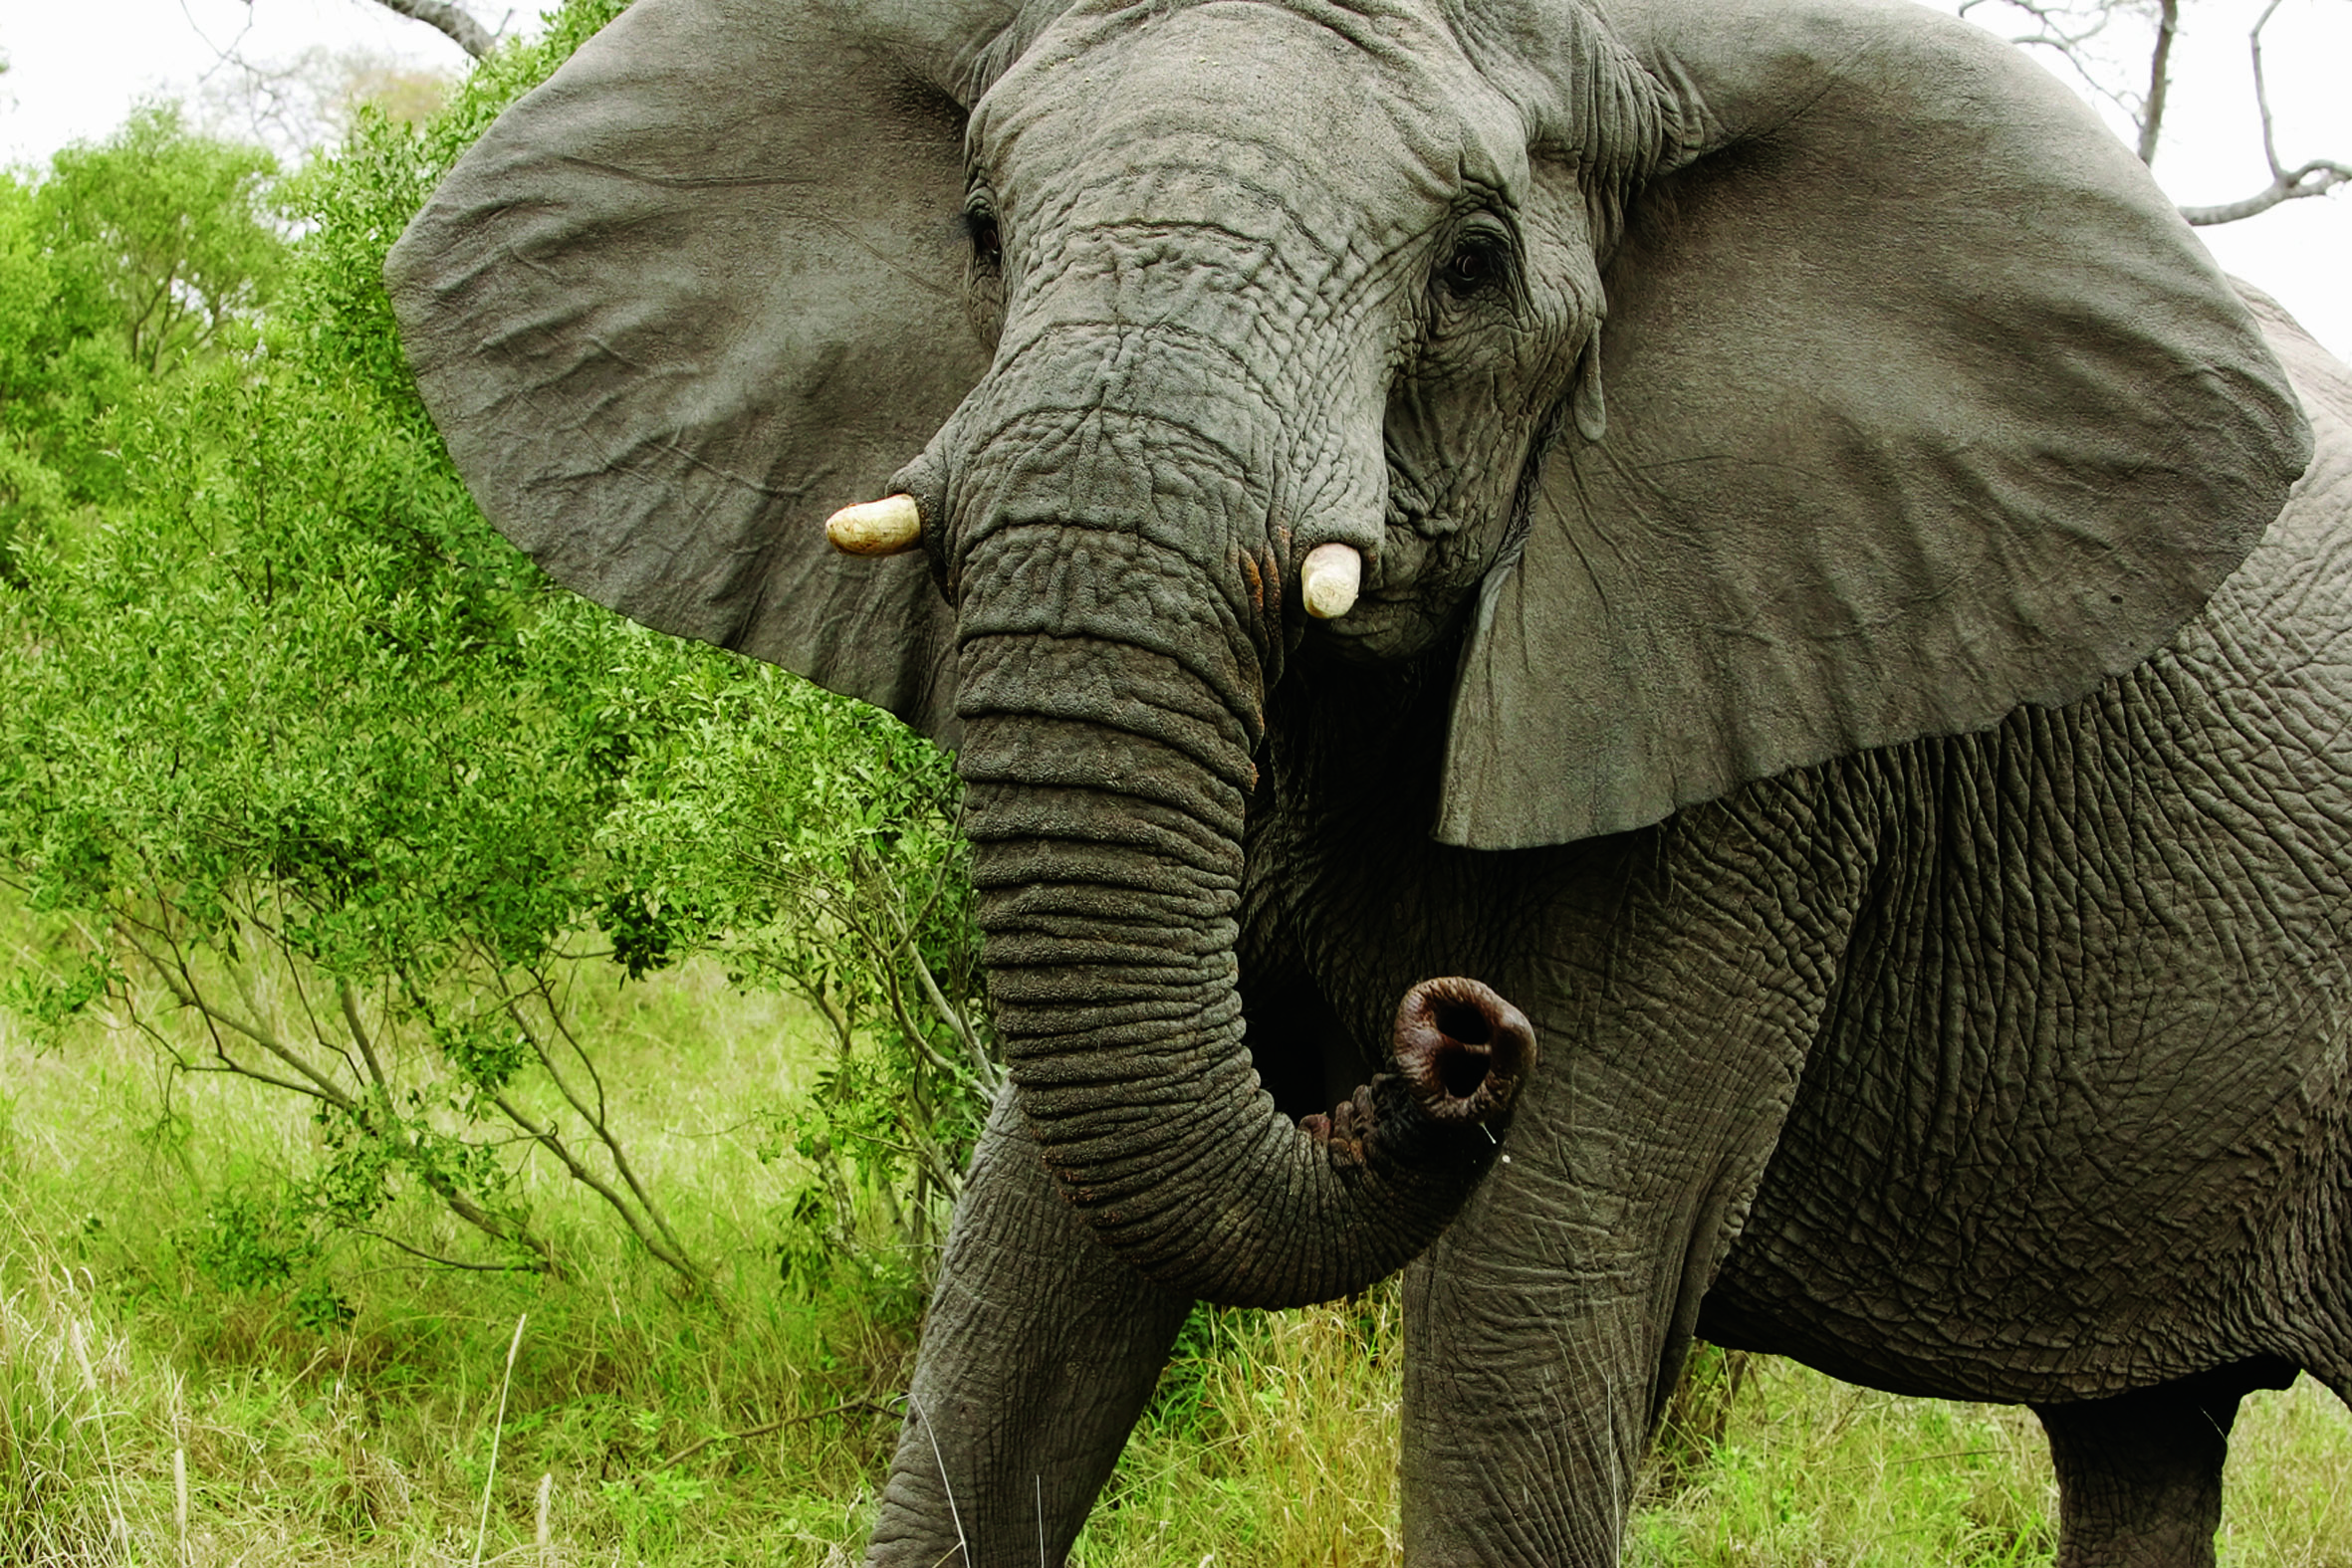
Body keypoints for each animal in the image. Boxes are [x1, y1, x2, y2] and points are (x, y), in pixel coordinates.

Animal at [384, 0, 2352, 1559]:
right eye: (978, 226)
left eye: (1472, 264)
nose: (1451, 1036)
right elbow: (1026, 1284)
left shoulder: (1755, 736)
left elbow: (1528, 1316)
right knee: (2142, 1442)